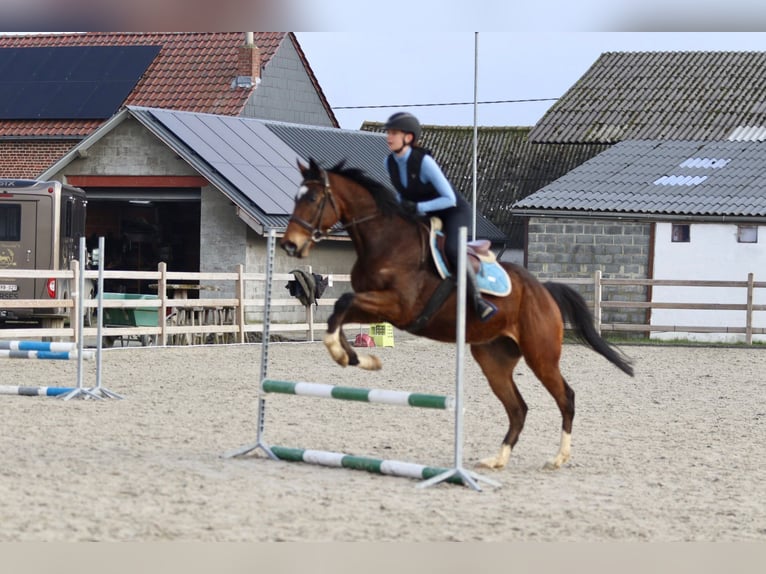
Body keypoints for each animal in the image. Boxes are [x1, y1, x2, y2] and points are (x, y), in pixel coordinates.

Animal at [280, 159, 632, 472]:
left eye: (312, 199)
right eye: (296, 197)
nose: (289, 244)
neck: (386, 241)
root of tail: (543, 290)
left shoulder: (398, 306)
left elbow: (342, 303)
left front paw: (348, 356)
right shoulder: (377, 306)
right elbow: (339, 313)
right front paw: (357, 358)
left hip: (540, 354)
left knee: (565, 397)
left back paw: (558, 458)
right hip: (493, 357)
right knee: (518, 408)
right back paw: (497, 459)